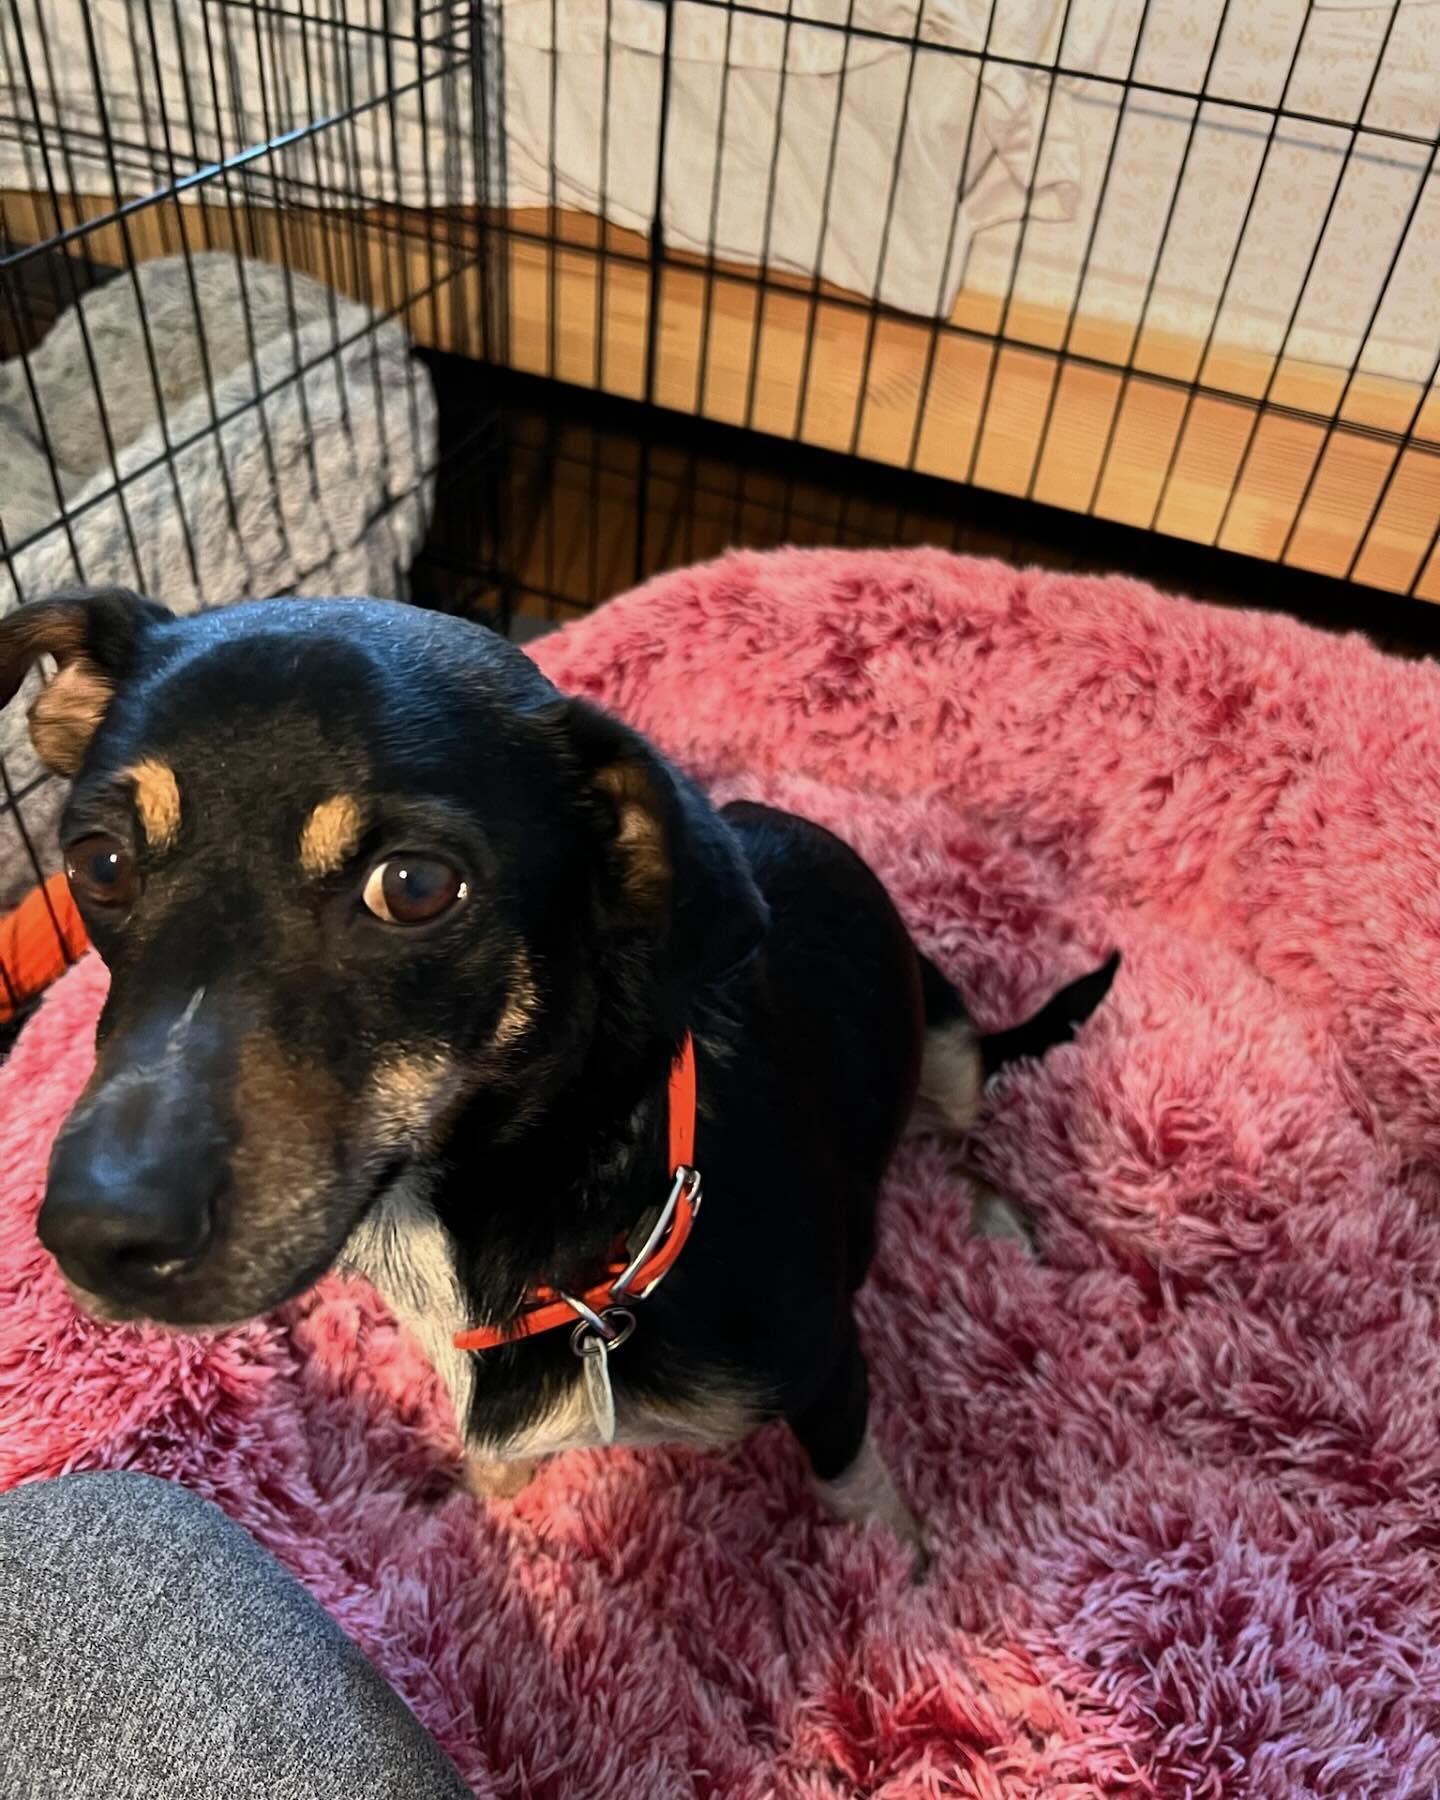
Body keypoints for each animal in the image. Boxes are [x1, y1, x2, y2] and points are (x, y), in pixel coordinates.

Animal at [0, 590, 1116, 1562]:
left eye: (414, 886)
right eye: (97, 863)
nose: (97, 1234)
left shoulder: (828, 1366)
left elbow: (858, 1491)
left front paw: (900, 1578)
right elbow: (496, 1474)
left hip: (950, 1038)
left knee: (960, 1134)